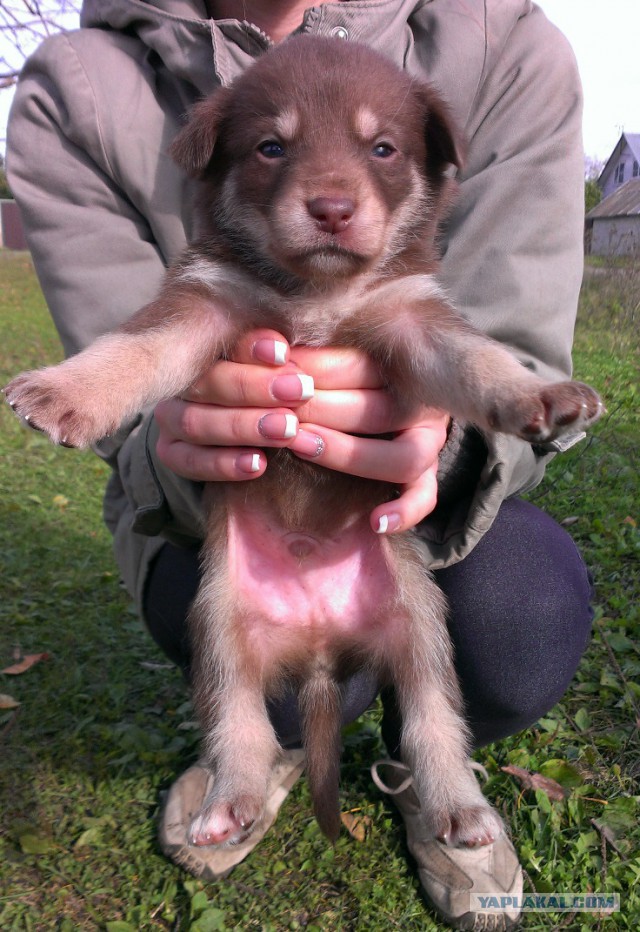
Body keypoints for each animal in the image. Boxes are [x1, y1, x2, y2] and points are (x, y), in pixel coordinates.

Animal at [5, 36, 604, 852]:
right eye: (271, 147)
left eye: (382, 148)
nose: (331, 207)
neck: (316, 292)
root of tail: (320, 650)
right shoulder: (203, 299)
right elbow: (133, 349)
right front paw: (62, 391)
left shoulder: (411, 314)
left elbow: (478, 359)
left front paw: (542, 396)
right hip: (218, 631)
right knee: (240, 724)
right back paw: (229, 804)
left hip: (421, 633)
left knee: (432, 724)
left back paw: (459, 808)